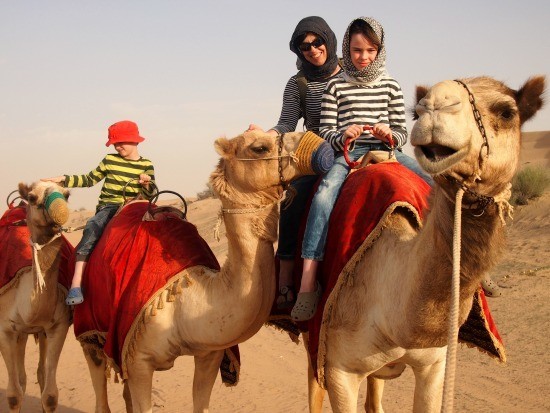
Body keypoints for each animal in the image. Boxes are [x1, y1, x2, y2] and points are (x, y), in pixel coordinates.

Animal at [0, 182, 71, 410]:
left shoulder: (58, 326)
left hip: (37, 331)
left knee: (39, 374)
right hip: (20, 332)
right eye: (32, 197)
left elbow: (50, 395)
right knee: (21, 378)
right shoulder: (4, 330)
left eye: (66, 194)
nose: (59, 209)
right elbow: (14, 394)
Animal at [79, 130, 334, 410]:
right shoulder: (138, 359)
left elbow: (200, 403)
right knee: (99, 386)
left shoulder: (210, 354)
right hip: (90, 331)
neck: (185, 300)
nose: (319, 145)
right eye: (259, 147)